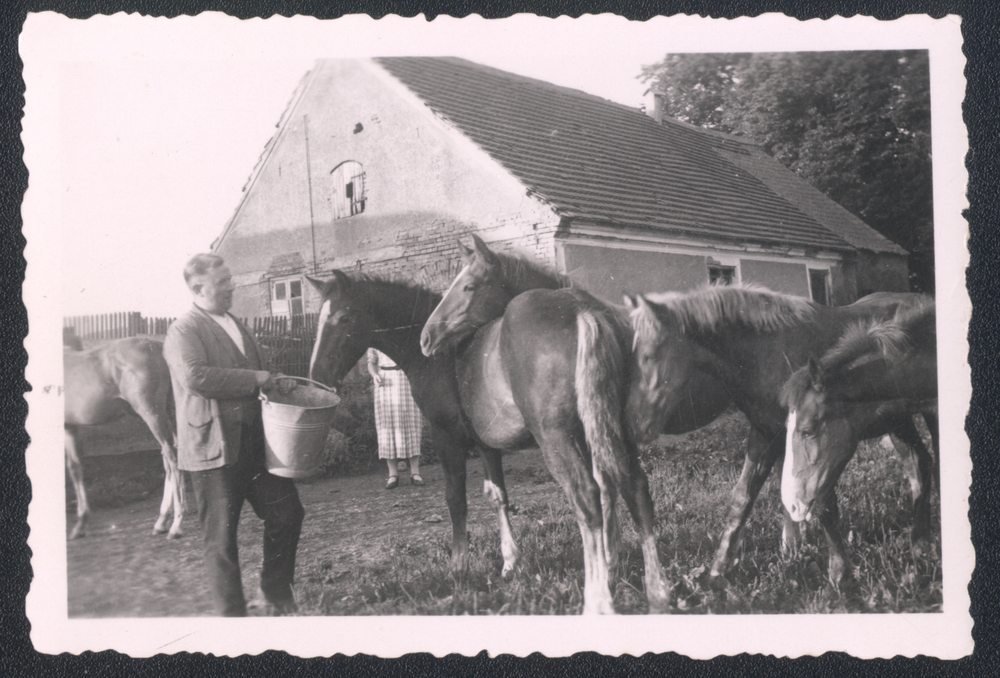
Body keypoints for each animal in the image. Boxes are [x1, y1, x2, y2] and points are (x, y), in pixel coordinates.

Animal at [64, 338, 186, 540]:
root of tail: (159, 347)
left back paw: (176, 525)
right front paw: (81, 523)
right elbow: (75, 468)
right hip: (167, 412)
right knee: (171, 454)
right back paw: (161, 521)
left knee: (171, 457)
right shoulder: (70, 427)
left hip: (152, 414)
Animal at [308, 270, 672, 616]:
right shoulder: (486, 445)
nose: (317, 379)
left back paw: (599, 600)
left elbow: (456, 500)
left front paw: (459, 568)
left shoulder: (447, 437)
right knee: (635, 489)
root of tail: (581, 310)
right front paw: (510, 562)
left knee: (587, 497)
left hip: (557, 438)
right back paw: (652, 590)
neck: (439, 357)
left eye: (342, 317)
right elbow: (498, 496)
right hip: (610, 428)